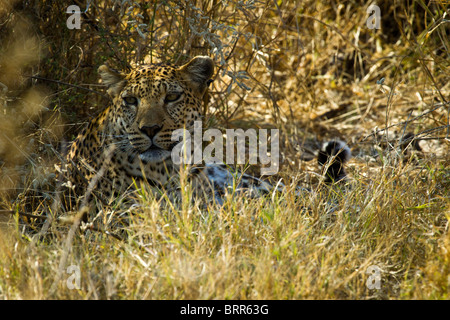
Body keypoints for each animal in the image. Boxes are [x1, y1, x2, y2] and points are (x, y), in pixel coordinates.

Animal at [64, 55, 352, 210]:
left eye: (172, 97)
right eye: (131, 101)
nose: (150, 129)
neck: (167, 170)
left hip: (252, 183)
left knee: (301, 194)